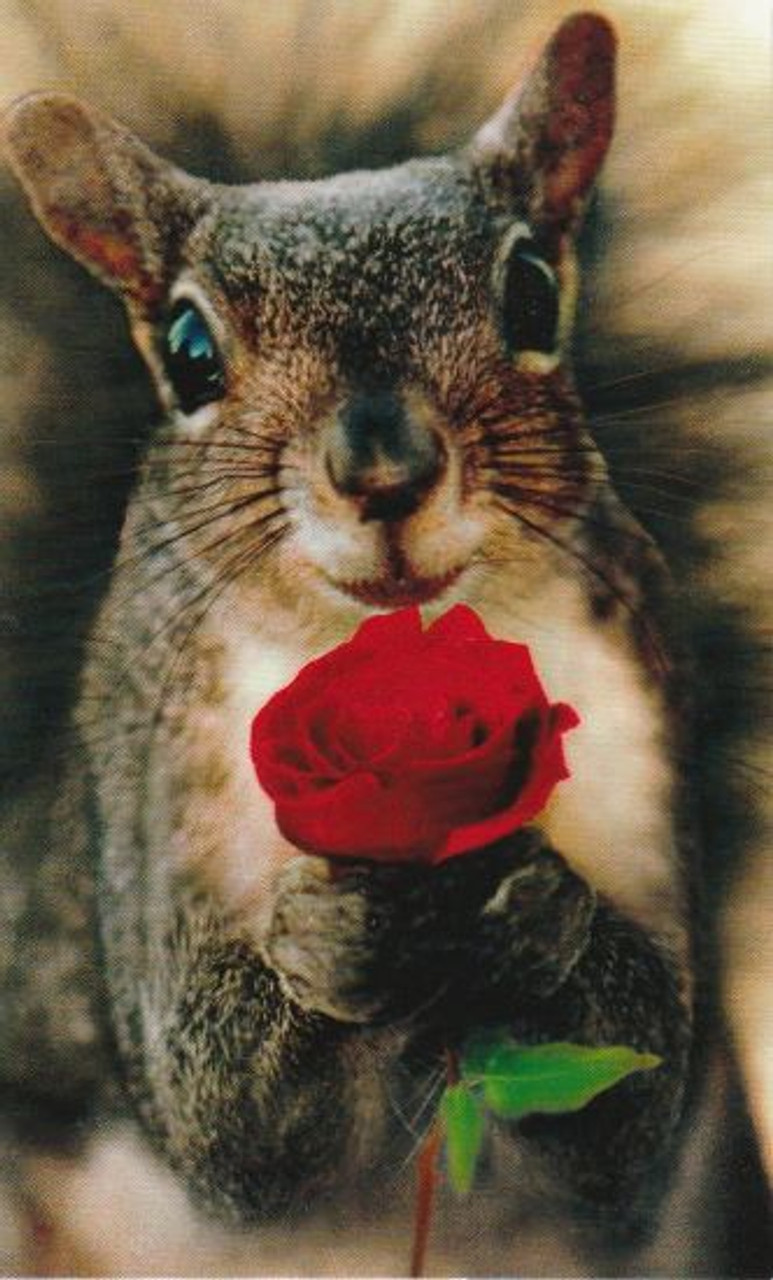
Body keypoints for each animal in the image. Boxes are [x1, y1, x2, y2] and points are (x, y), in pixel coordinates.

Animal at [0, 6, 770, 1277]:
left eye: (531, 291)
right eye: (188, 349)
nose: (381, 469)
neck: (395, 646)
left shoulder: (644, 741)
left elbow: (629, 1105)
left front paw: (530, 903)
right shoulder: (150, 811)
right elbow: (220, 1126)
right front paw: (332, 930)